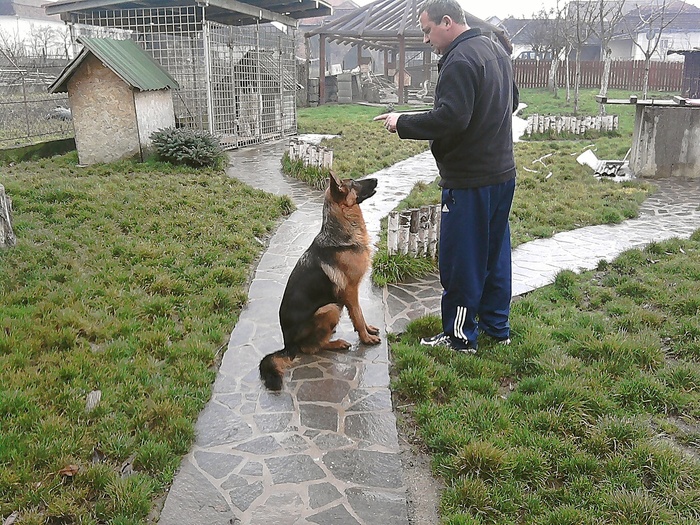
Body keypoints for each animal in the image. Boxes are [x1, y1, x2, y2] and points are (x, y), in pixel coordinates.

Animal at [258, 172, 380, 388]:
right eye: (354, 183)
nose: (376, 180)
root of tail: (287, 344)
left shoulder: (351, 294)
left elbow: (360, 315)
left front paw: (368, 330)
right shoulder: (350, 292)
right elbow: (358, 315)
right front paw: (366, 338)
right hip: (331, 308)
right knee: (312, 347)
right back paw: (336, 343)